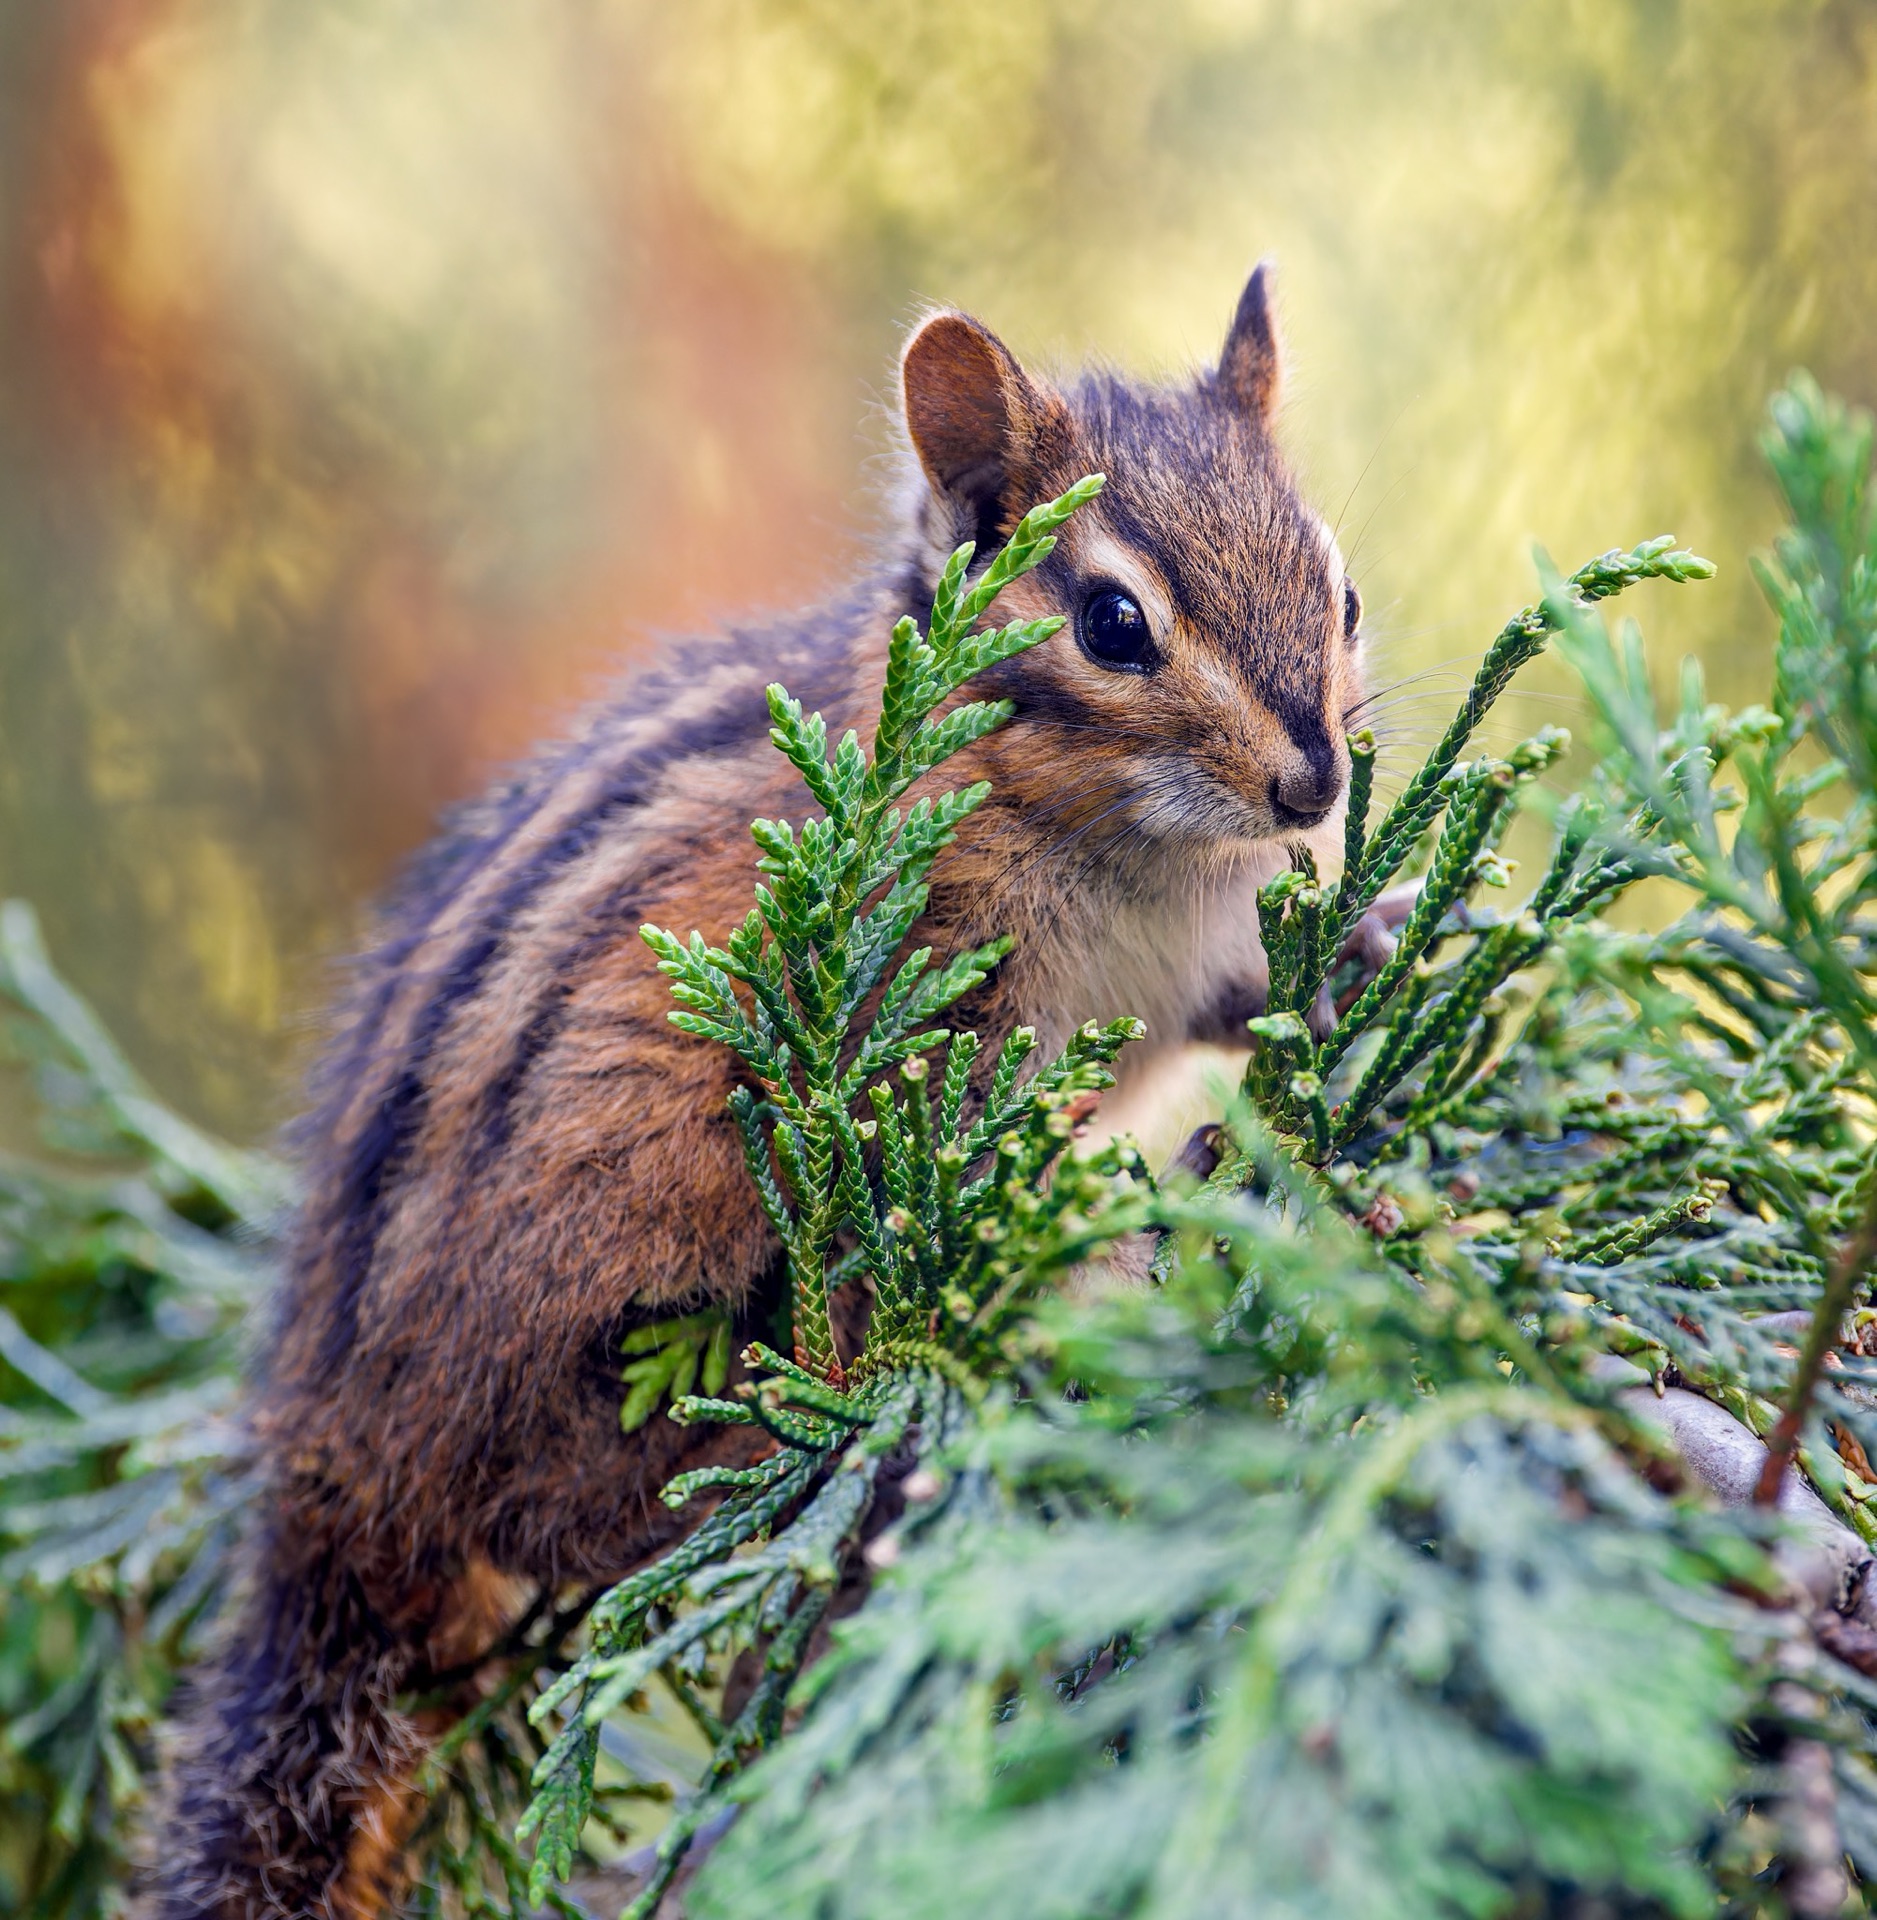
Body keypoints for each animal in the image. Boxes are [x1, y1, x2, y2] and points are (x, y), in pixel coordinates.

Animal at [146, 263, 1370, 1919]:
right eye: (1113, 623)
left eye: (1340, 587)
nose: (1314, 784)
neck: (1135, 857)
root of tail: (332, 1463)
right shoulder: (937, 1007)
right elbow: (969, 1167)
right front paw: (1110, 1235)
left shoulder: (1182, 968)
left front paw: (1366, 945)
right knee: (574, 1498)